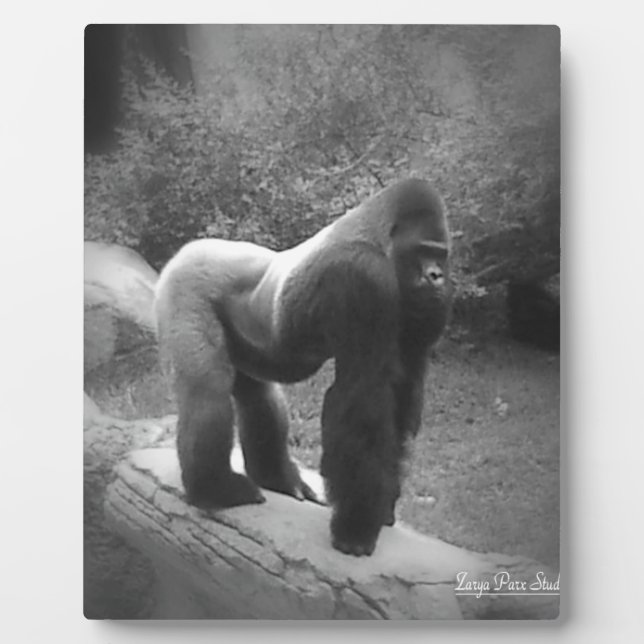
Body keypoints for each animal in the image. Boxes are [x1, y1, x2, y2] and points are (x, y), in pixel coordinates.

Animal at [154, 178, 452, 556]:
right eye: (421, 251)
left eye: (441, 254)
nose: (436, 276)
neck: (379, 235)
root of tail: (189, 249)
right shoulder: (361, 277)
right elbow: (362, 398)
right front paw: (356, 526)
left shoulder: (427, 308)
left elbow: (401, 395)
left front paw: (381, 506)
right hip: (184, 285)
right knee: (206, 389)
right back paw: (213, 488)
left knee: (259, 395)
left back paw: (275, 476)